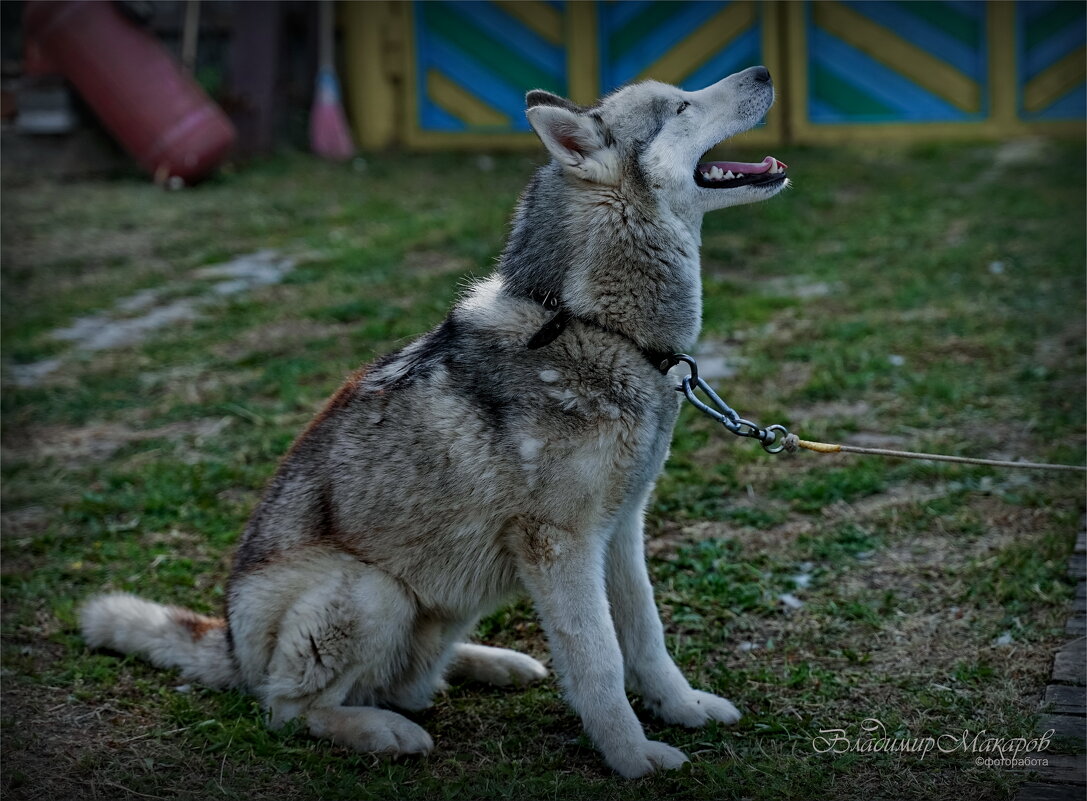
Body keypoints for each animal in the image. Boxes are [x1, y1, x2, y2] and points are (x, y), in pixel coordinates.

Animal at [78, 65, 791, 778]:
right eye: (681, 106)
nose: (763, 72)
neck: (597, 326)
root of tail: (229, 642)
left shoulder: (619, 531)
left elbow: (645, 638)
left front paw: (683, 709)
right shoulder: (561, 544)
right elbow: (599, 661)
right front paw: (632, 757)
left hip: (449, 600)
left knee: (410, 680)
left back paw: (493, 664)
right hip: (372, 592)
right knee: (290, 708)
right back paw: (384, 732)